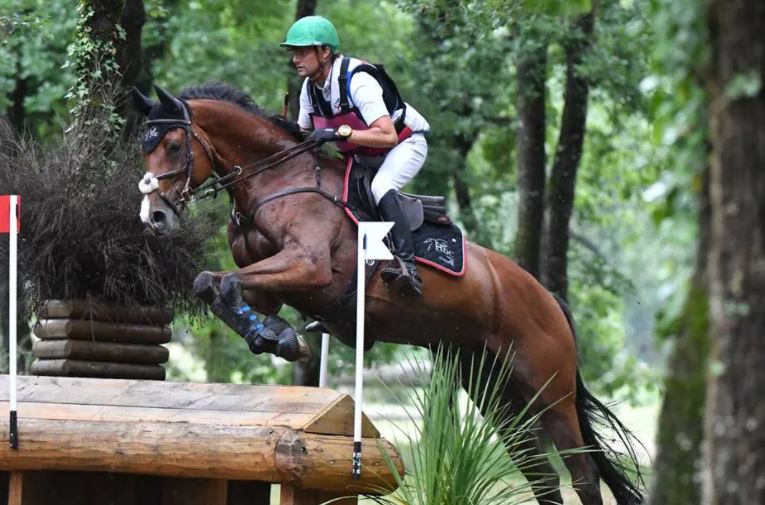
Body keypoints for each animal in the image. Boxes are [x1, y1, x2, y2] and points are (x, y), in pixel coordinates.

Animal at [133, 82, 644, 504]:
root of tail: (549, 298)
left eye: (174, 146)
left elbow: (227, 284)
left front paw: (283, 339)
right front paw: (277, 337)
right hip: (492, 388)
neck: (275, 180)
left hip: (547, 390)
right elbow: (216, 286)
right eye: (145, 150)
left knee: (582, 476)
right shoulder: (267, 286)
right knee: (540, 474)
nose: (154, 217)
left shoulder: (310, 267)